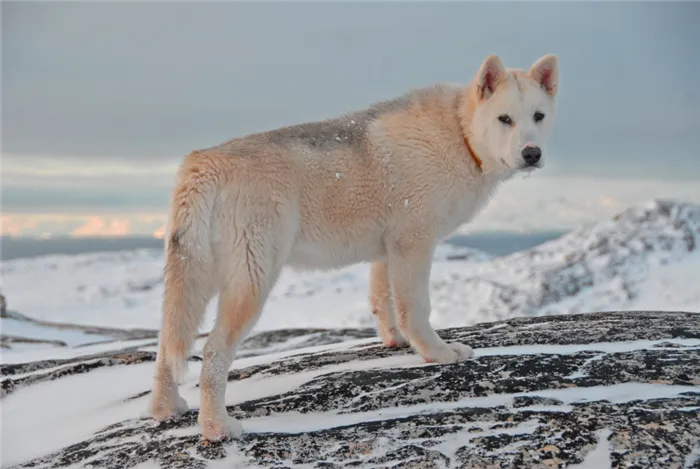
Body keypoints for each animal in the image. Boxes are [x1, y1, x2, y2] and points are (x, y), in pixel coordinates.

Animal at [149, 53, 564, 440]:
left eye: (539, 116)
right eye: (505, 119)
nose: (532, 154)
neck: (459, 136)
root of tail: (204, 163)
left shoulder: (388, 251)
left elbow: (385, 303)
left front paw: (396, 342)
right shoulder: (414, 244)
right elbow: (417, 310)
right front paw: (438, 354)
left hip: (196, 281)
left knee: (167, 345)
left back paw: (166, 410)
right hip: (251, 281)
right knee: (213, 352)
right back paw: (216, 428)